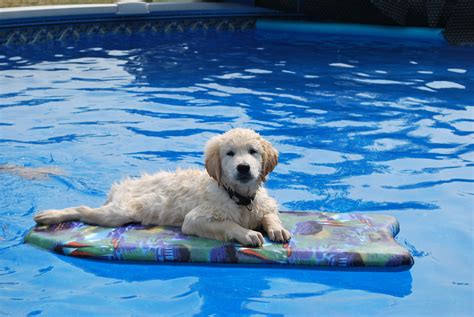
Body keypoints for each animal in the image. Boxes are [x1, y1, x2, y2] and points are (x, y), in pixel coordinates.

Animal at [33, 127, 290, 246]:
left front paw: (277, 229)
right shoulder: (195, 220)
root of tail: (121, 186)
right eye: (230, 153)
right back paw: (50, 215)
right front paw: (247, 233)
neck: (238, 197)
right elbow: (228, 224)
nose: (243, 168)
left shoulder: (261, 204)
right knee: (83, 210)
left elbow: (269, 214)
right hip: (118, 213)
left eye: (253, 151)